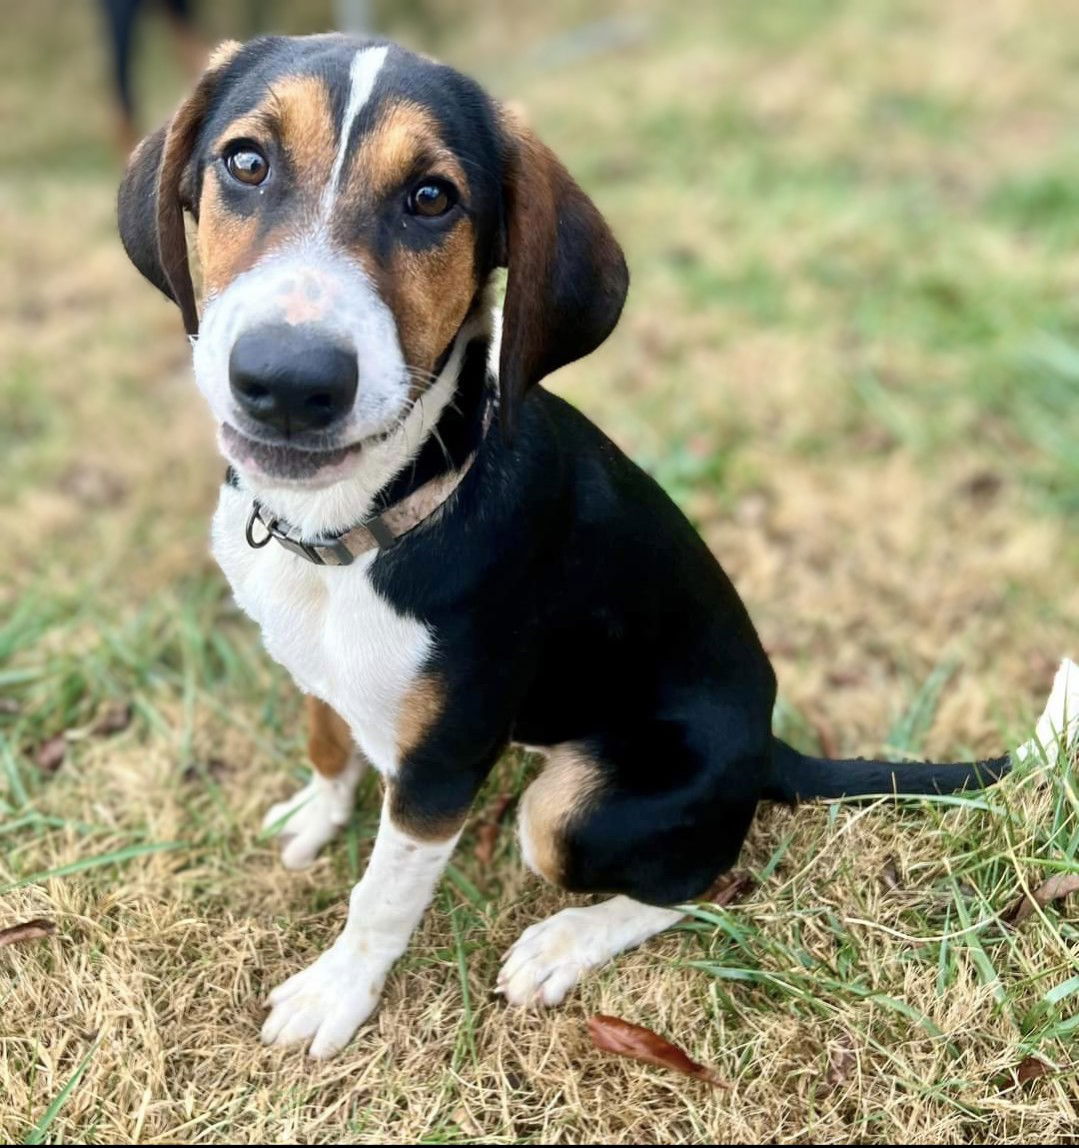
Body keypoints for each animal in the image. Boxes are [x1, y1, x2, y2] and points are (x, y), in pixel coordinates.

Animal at [113, 33, 1074, 1056]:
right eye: (246, 162)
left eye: (432, 198)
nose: (288, 382)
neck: (362, 524)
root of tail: (766, 747)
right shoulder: (324, 674)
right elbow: (328, 735)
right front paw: (315, 814)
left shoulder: (440, 771)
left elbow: (381, 897)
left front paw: (338, 990)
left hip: (573, 813)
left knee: (698, 879)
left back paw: (564, 944)